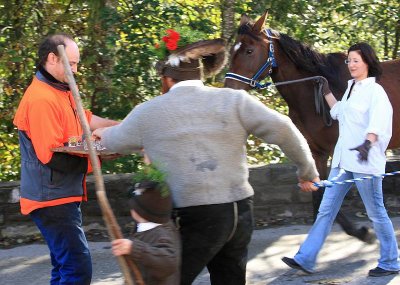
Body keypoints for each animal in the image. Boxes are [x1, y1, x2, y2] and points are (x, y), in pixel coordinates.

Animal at [225, 12, 400, 241]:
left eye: (249, 50)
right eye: (232, 50)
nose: (228, 89)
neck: (313, 93)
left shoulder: (337, 151)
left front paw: (360, 232)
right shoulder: (317, 152)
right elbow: (319, 197)